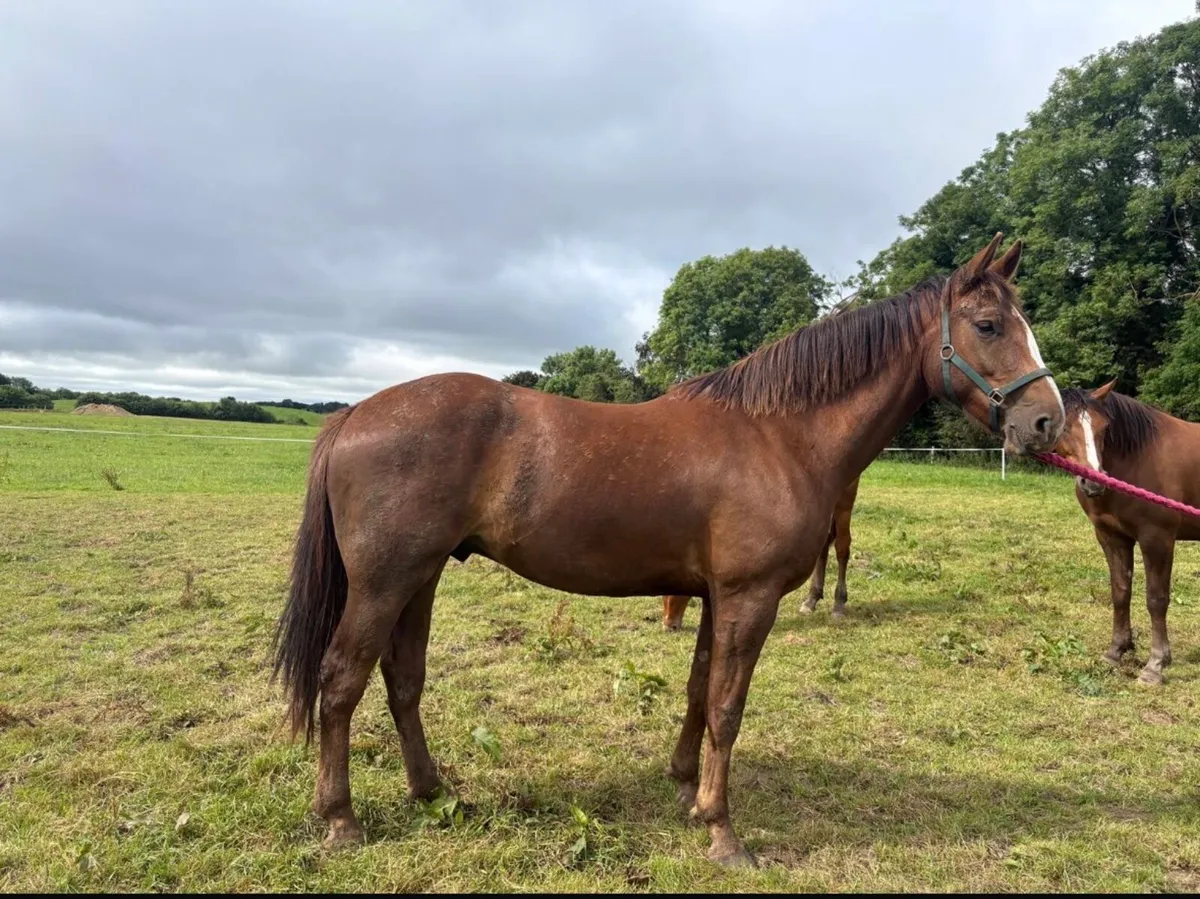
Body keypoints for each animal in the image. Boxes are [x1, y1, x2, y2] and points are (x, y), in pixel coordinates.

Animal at [1053, 381, 1200, 686]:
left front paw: (1155, 665)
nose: (1093, 482)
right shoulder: (1112, 538)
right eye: (1064, 426)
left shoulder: (1157, 539)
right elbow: (1120, 591)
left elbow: (1156, 600)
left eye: (1104, 428)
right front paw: (1116, 651)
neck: (1138, 458)